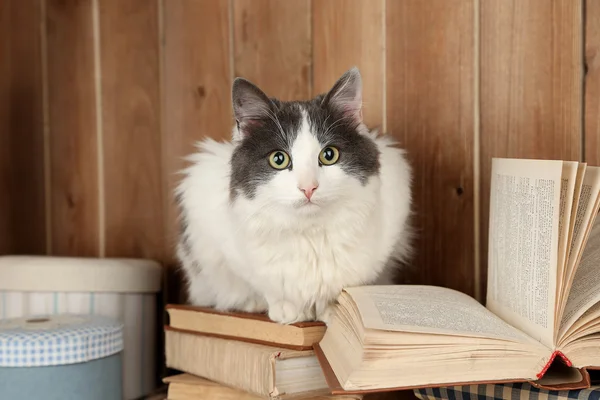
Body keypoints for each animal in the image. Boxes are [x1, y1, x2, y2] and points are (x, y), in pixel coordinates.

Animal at [176, 67, 414, 324]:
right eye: (279, 159)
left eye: (329, 155)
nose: (308, 187)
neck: (310, 234)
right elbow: (264, 284)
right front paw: (285, 310)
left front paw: (332, 311)